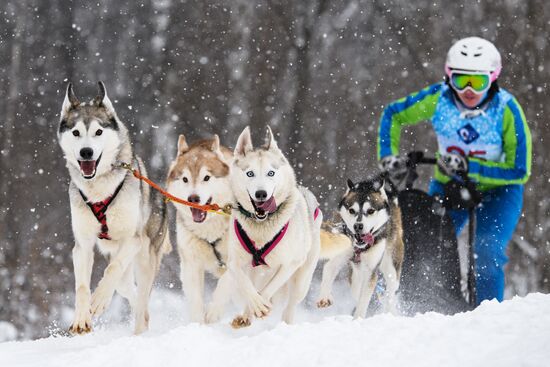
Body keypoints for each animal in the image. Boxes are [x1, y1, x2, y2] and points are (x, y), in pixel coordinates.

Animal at [58, 82, 170, 334]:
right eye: (76, 132)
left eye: (98, 132)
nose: (86, 152)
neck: (98, 191)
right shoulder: (82, 246)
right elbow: (82, 286)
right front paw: (81, 318)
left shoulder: (133, 239)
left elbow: (111, 270)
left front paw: (99, 300)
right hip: (125, 269)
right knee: (130, 291)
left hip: (145, 259)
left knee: (140, 301)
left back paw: (138, 331)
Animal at [164, 134, 233, 322]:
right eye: (185, 179)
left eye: (206, 178)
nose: (193, 198)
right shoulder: (191, 264)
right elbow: (195, 301)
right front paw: (198, 325)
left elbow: (225, 284)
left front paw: (214, 312)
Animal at [209, 127, 326, 328]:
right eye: (250, 174)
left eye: (271, 173)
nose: (261, 194)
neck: (262, 227)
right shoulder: (234, 262)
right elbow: (245, 283)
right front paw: (256, 305)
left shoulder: (290, 263)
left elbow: (270, 287)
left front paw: (262, 304)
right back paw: (245, 315)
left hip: (301, 280)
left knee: (290, 305)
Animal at [314, 176, 406, 320]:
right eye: (352, 210)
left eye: (371, 211)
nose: (358, 226)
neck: (358, 246)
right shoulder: (339, 256)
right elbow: (329, 269)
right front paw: (324, 297)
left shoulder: (371, 270)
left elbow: (365, 296)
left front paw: (358, 317)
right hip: (356, 269)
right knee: (356, 286)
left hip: (391, 264)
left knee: (391, 290)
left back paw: (390, 311)